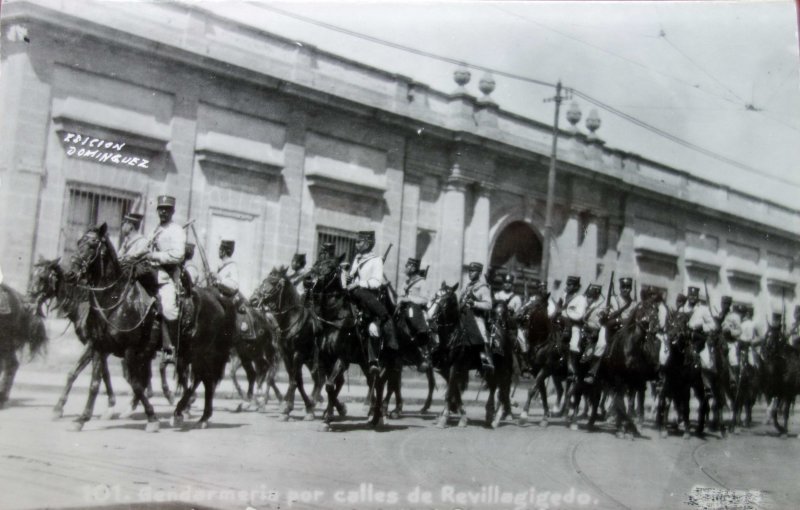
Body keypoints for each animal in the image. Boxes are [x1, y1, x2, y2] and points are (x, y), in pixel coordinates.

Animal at [66, 224, 234, 430]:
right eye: (78, 242)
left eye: (92, 245)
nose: (70, 274)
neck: (115, 300)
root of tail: (216, 297)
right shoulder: (99, 348)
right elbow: (95, 384)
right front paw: (82, 419)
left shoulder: (131, 351)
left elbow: (137, 384)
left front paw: (152, 418)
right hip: (189, 352)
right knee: (203, 380)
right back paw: (195, 416)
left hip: (202, 352)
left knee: (202, 379)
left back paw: (187, 413)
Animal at [253, 266, 322, 422]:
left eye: (272, 283)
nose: (253, 299)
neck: (291, 321)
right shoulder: (285, 355)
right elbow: (296, 380)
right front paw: (299, 407)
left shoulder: (297, 354)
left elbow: (294, 381)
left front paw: (286, 408)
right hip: (310, 361)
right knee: (318, 379)